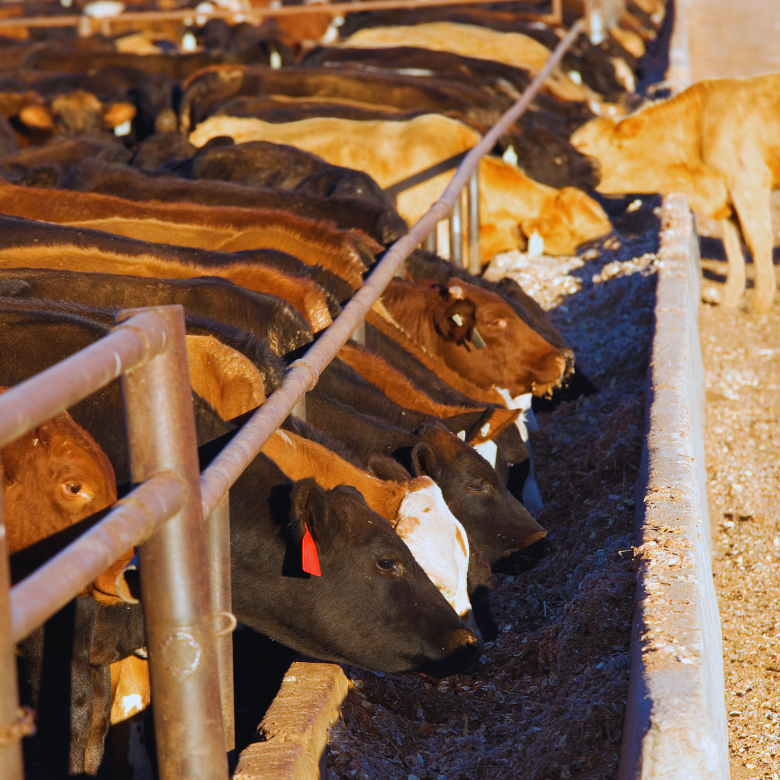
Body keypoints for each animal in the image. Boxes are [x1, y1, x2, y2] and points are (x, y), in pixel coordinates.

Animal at [571, 74, 780, 312]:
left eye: (582, 145)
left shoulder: (747, 184)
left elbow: (757, 240)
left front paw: (760, 304)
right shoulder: (727, 195)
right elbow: (733, 244)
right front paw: (729, 301)